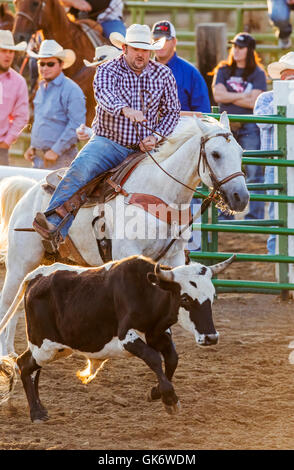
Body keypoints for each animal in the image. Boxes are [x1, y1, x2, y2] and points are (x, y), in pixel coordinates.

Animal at [0, 114, 249, 356]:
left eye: (240, 152)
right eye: (215, 154)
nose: (241, 197)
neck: (159, 192)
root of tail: (28, 192)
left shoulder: (175, 256)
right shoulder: (126, 253)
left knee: (19, 304)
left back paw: (11, 352)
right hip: (19, 264)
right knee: (7, 303)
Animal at [0, 255, 234, 424]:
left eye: (212, 297)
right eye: (185, 298)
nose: (211, 337)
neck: (146, 292)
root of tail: (39, 275)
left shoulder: (158, 334)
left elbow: (172, 360)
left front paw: (156, 393)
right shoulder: (126, 337)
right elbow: (154, 358)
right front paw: (170, 399)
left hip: (56, 348)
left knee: (32, 369)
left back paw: (39, 409)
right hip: (44, 345)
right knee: (23, 364)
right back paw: (36, 413)